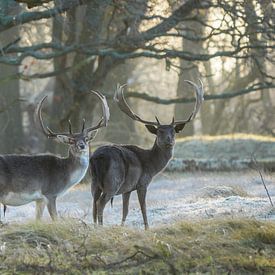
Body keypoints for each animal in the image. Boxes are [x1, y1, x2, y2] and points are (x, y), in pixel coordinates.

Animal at [0, 91, 110, 221]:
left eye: (86, 138)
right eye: (71, 141)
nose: (81, 145)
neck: (65, 175)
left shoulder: (40, 199)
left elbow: (38, 220)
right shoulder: (50, 193)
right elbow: (56, 219)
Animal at [91, 80, 205, 231]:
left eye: (173, 131)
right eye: (159, 131)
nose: (169, 140)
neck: (151, 166)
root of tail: (97, 158)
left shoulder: (127, 189)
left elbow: (125, 210)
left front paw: (122, 227)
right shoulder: (142, 183)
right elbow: (143, 208)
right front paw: (147, 228)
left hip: (94, 182)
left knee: (93, 202)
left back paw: (94, 226)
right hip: (113, 180)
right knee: (100, 202)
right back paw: (101, 227)